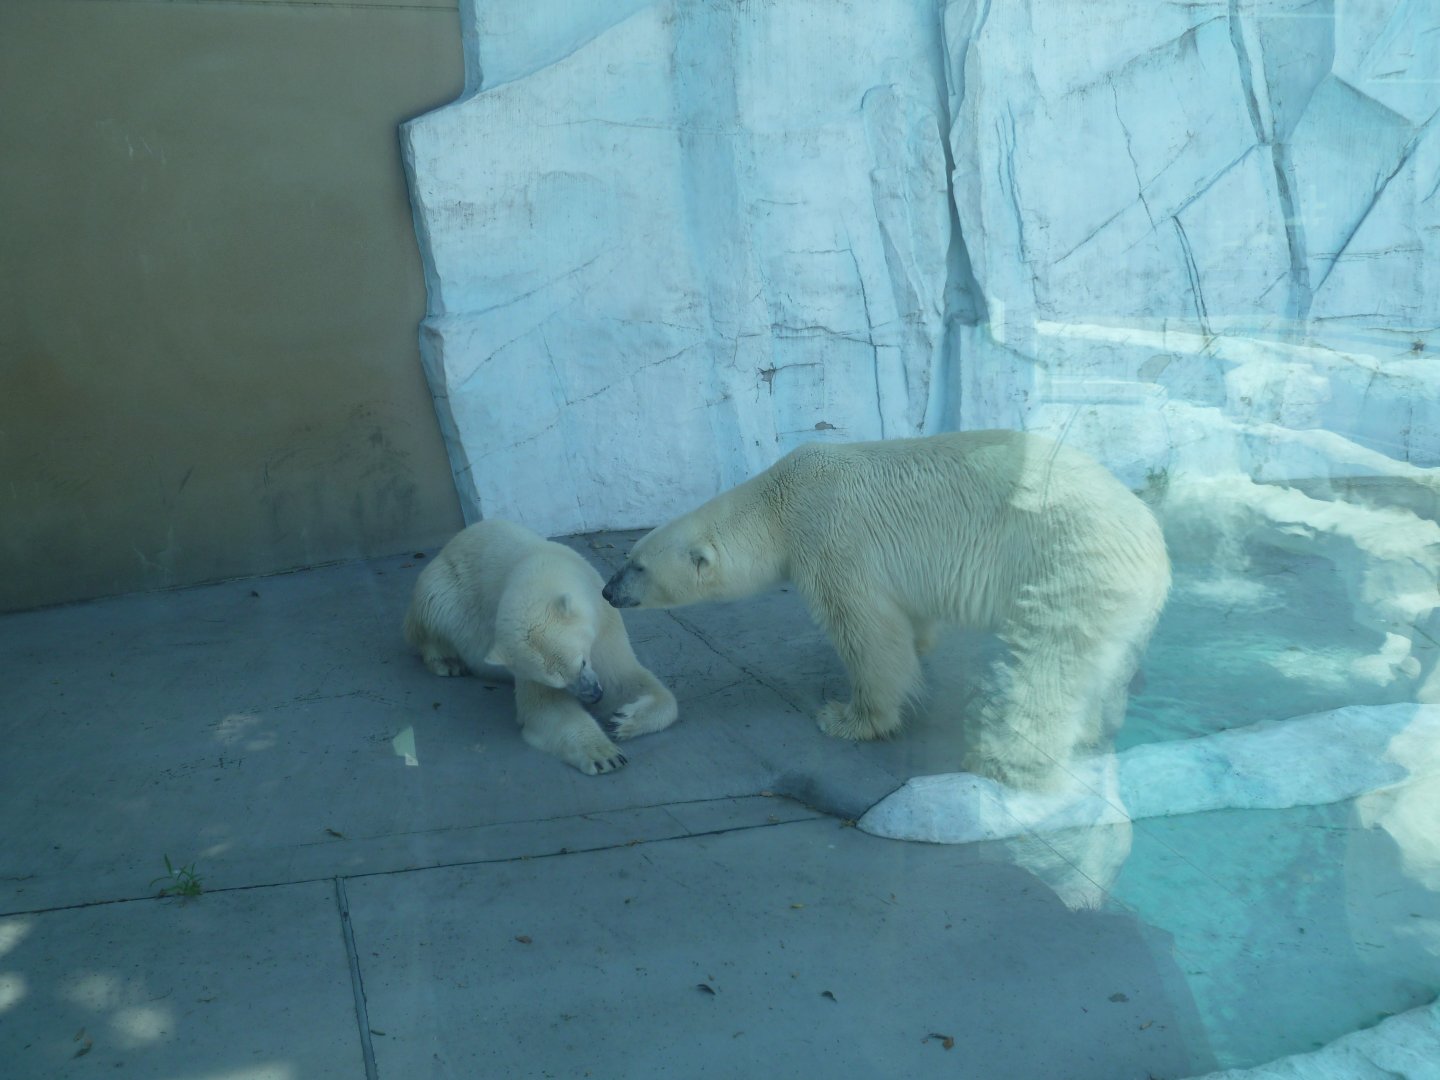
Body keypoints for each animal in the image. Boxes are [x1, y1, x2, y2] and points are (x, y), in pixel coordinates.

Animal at [404, 519, 678, 775]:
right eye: (558, 683)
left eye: (583, 661)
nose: (594, 695)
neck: (541, 564)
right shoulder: (523, 661)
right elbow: (545, 706)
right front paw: (605, 755)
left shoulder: (602, 619)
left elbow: (623, 678)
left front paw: (622, 720)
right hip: (443, 588)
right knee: (430, 613)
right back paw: (447, 662)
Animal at [602, 430, 1170, 789]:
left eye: (637, 567)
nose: (608, 592)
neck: (779, 504)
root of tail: (1152, 540)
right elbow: (908, 618)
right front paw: (920, 644)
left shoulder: (831, 538)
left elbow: (867, 631)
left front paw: (849, 717)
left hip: (1070, 567)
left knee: (1048, 667)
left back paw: (1005, 761)